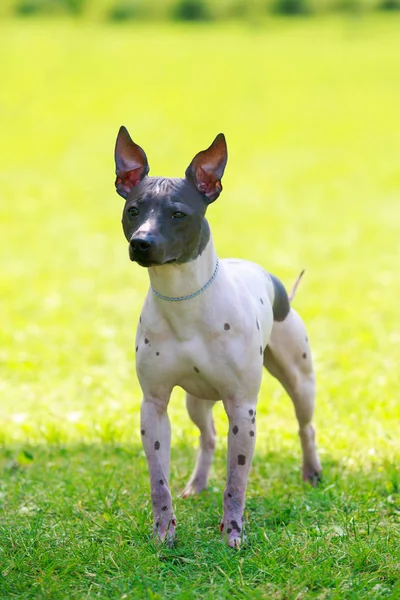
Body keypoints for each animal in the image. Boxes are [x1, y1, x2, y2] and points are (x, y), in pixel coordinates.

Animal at [113, 127, 322, 548]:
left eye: (178, 213)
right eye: (134, 211)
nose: (141, 242)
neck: (183, 301)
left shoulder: (242, 409)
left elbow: (236, 481)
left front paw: (233, 533)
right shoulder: (154, 406)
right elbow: (158, 480)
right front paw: (164, 531)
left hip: (300, 381)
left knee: (304, 425)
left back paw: (311, 473)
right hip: (196, 400)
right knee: (207, 437)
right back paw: (196, 484)